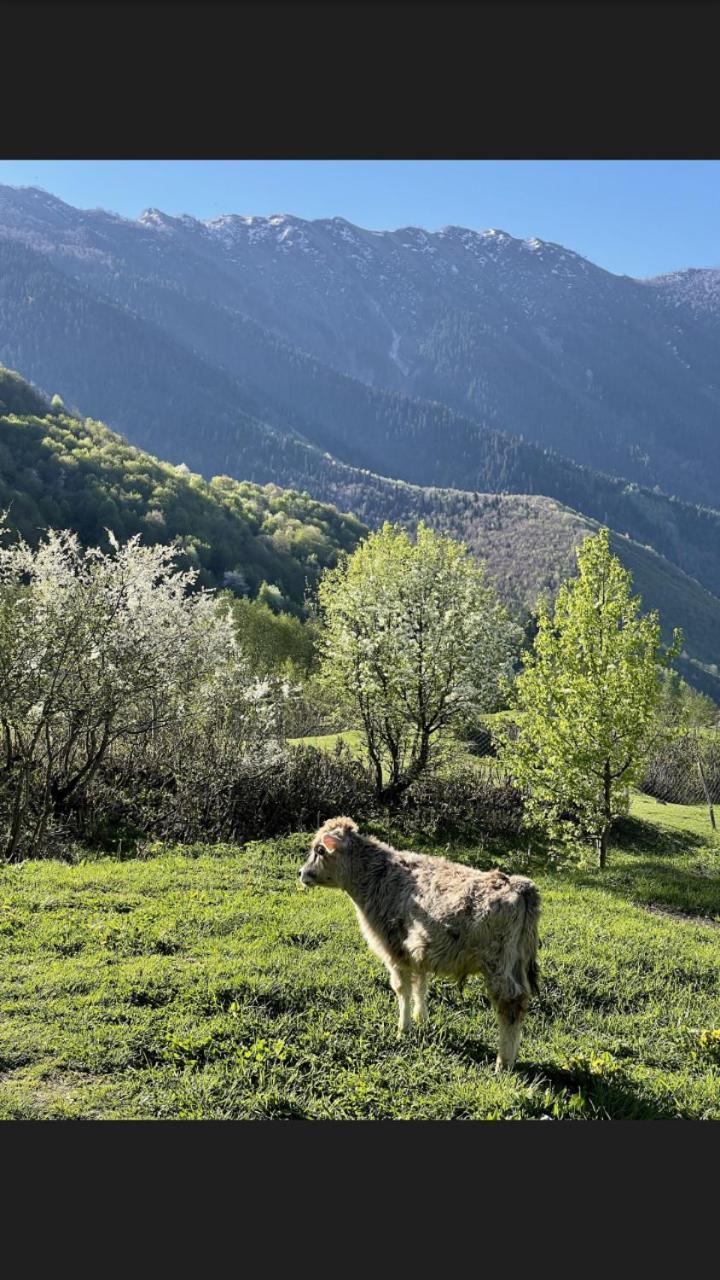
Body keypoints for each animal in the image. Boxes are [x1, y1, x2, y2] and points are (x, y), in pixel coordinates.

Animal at [298, 819, 538, 1070]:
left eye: (320, 850)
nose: (301, 873)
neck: (379, 876)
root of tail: (519, 886)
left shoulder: (395, 950)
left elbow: (402, 989)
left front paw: (403, 1030)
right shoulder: (419, 952)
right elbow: (420, 986)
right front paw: (420, 1018)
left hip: (499, 964)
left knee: (511, 1004)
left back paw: (504, 1062)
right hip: (517, 963)